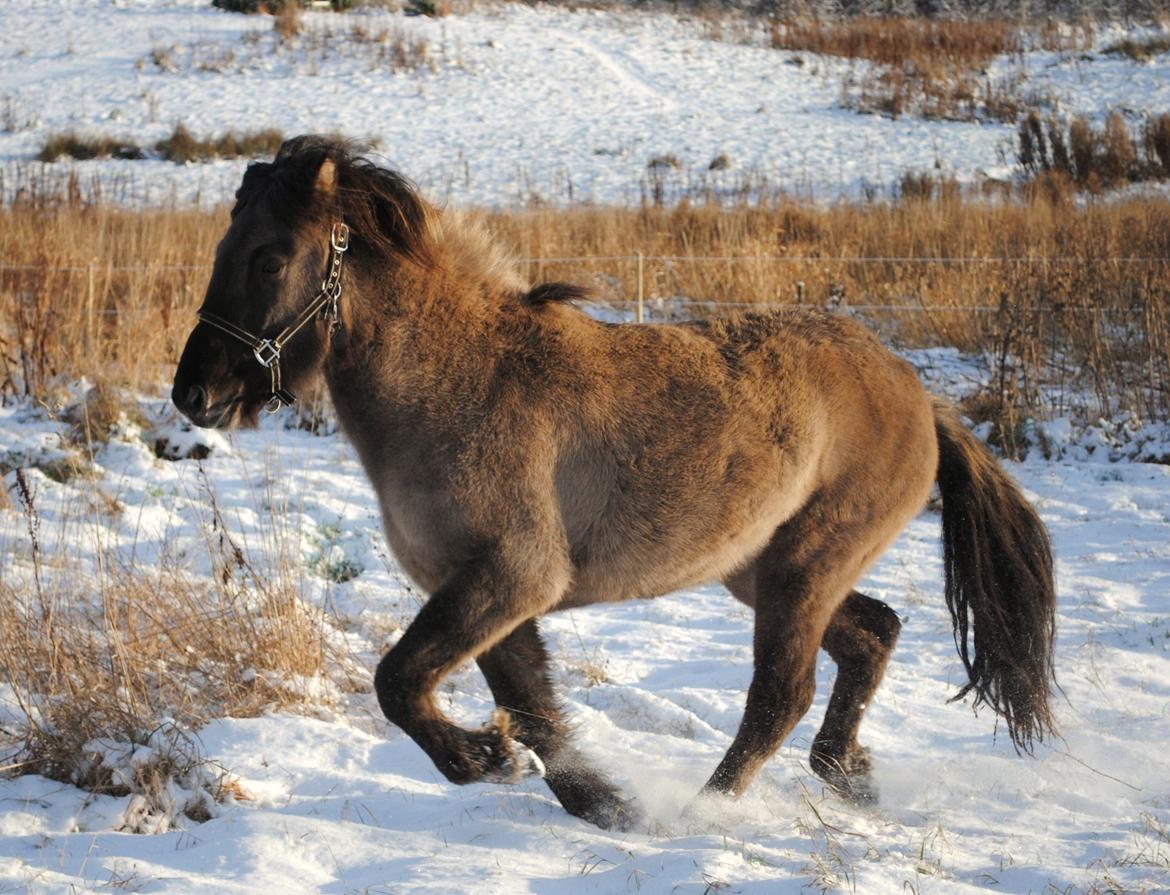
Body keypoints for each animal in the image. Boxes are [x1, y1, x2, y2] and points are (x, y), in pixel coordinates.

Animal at [173, 134, 1062, 832]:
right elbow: (535, 711)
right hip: (764, 571)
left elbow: (401, 682)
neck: (453, 381)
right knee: (874, 634)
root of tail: (921, 394)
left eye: (270, 257)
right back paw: (845, 773)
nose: (194, 394)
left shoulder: (511, 576)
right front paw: (598, 802)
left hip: (802, 572)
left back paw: (708, 808)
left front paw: (481, 758)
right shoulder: (495, 594)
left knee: (784, 691)